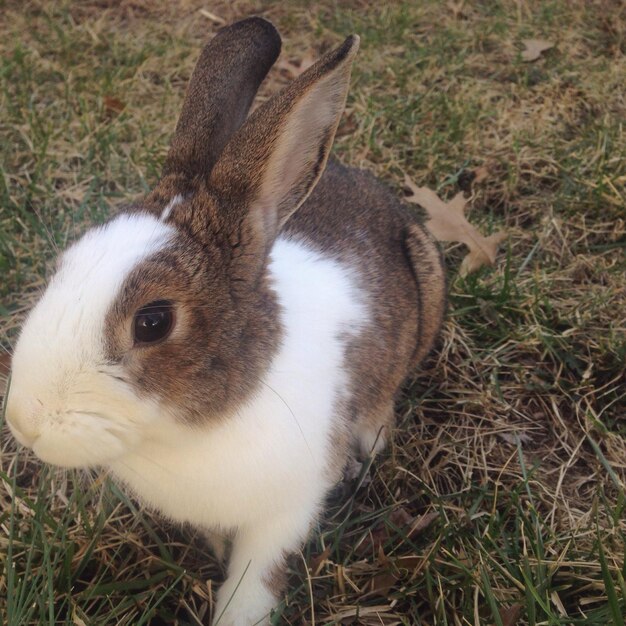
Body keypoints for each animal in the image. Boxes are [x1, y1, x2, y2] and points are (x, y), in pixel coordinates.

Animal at [3, 14, 444, 624]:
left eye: (153, 321)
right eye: (65, 263)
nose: (24, 421)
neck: (193, 430)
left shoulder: (286, 511)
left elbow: (255, 579)